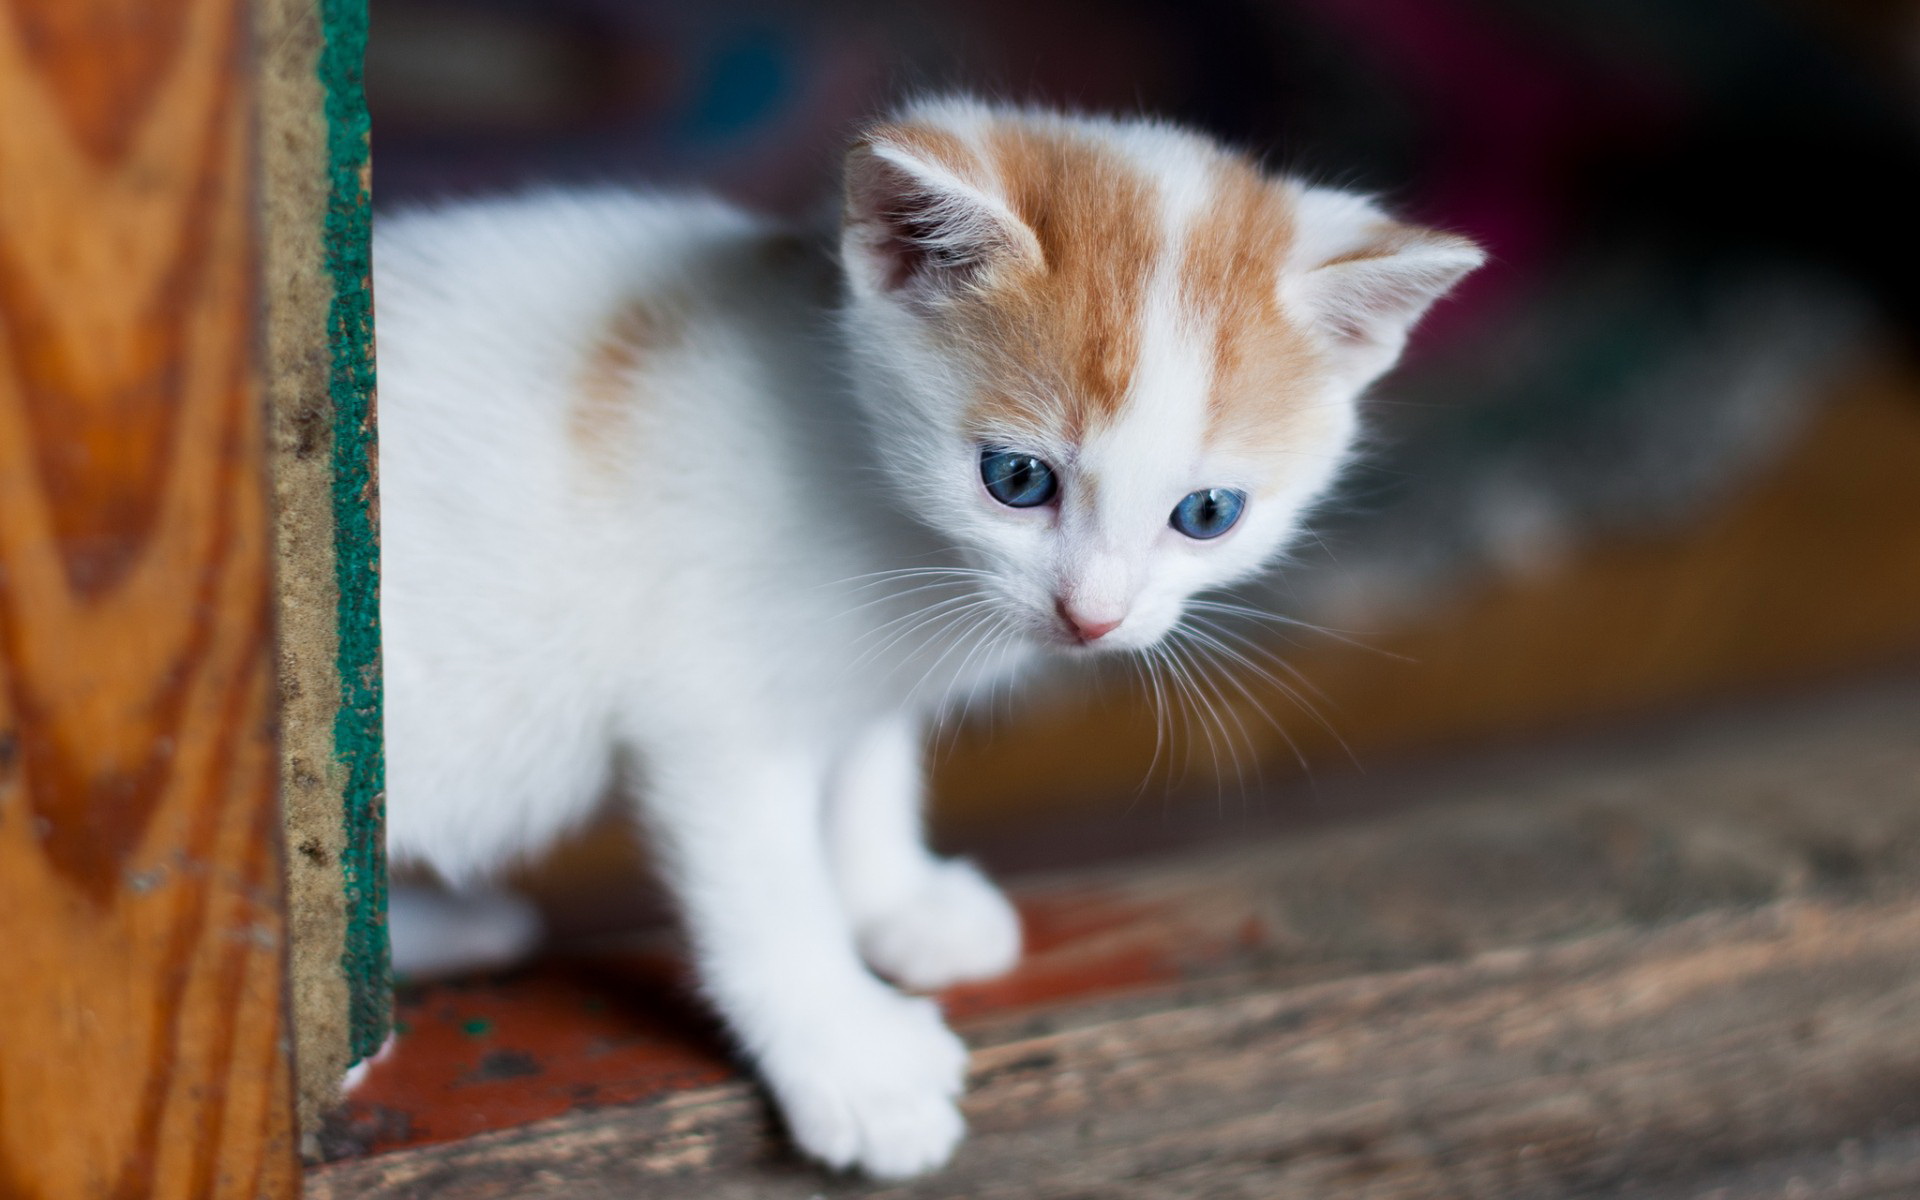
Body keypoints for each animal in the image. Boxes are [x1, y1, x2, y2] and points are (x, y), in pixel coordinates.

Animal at [374, 96, 1482, 1182]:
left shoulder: (862, 677)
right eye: (1017, 479)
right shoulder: (712, 714)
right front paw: (853, 1057)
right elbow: (767, 884)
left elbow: (867, 767)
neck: (865, 485)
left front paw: (894, 900)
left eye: (1207, 513)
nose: (1093, 616)